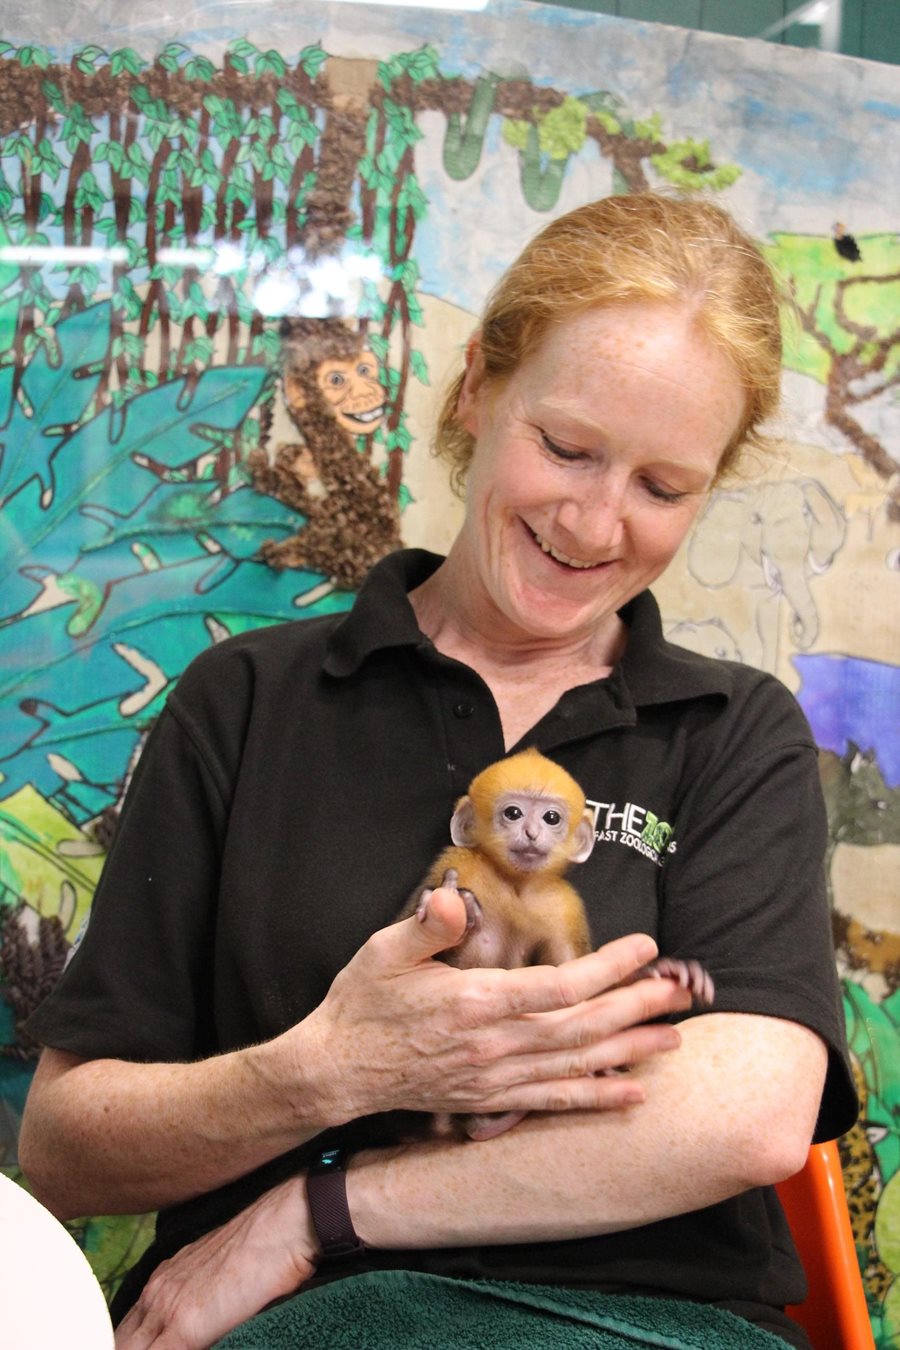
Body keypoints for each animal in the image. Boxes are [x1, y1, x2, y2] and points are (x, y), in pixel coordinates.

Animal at [399, 750, 712, 1139]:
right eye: (513, 813)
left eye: (551, 818)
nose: (532, 833)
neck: (516, 885)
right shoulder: (457, 863)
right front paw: (455, 902)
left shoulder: (563, 907)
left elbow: (571, 968)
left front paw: (659, 971)